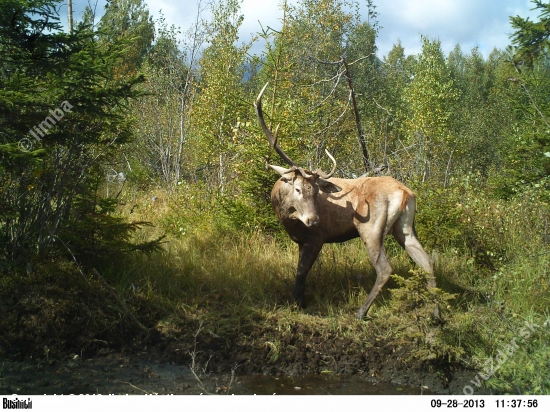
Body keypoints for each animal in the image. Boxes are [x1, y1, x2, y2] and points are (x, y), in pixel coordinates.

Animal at [256, 82, 442, 320]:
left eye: (315, 192)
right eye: (298, 189)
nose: (313, 220)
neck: (286, 217)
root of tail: (405, 193)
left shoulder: (316, 237)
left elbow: (301, 273)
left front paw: (296, 303)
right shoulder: (303, 240)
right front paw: (300, 301)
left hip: (371, 228)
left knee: (385, 269)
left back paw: (361, 311)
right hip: (405, 227)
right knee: (427, 261)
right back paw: (436, 313)